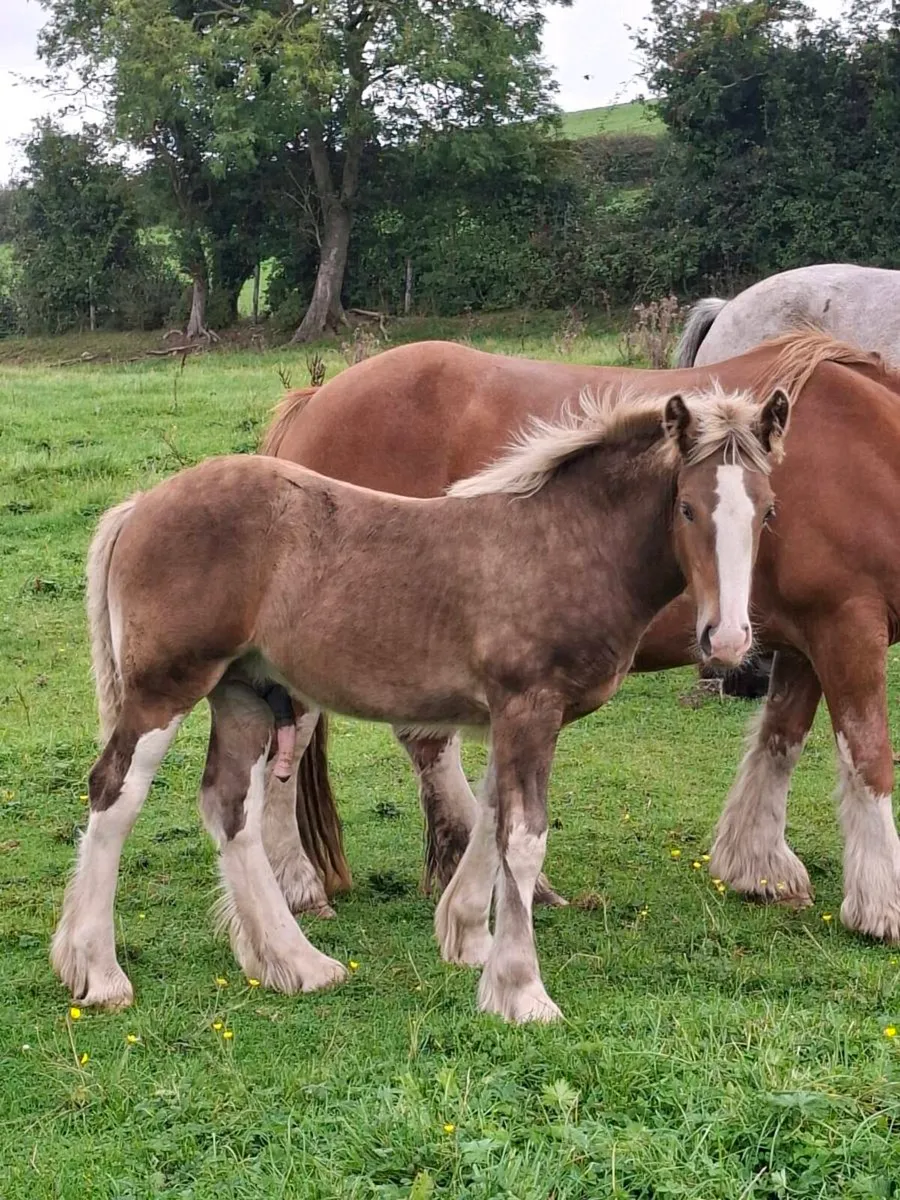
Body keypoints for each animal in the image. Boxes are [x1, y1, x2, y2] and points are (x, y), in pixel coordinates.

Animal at [51, 383, 786, 1023]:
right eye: (687, 507)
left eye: (769, 509)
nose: (727, 640)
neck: (563, 542)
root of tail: (140, 504)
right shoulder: (529, 708)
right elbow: (523, 839)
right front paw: (523, 993)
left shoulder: (507, 718)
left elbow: (490, 819)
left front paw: (468, 942)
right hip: (166, 687)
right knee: (115, 794)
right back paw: (100, 973)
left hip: (245, 692)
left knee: (228, 805)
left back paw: (296, 964)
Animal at [260, 331, 900, 947]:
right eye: (686, 510)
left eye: (770, 513)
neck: (870, 448)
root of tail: (315, 401)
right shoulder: (846, 624)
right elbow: (868, 755)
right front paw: (882, 907)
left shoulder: (803, 642)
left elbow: (780, 739)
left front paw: (760, 869)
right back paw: (301, 886)